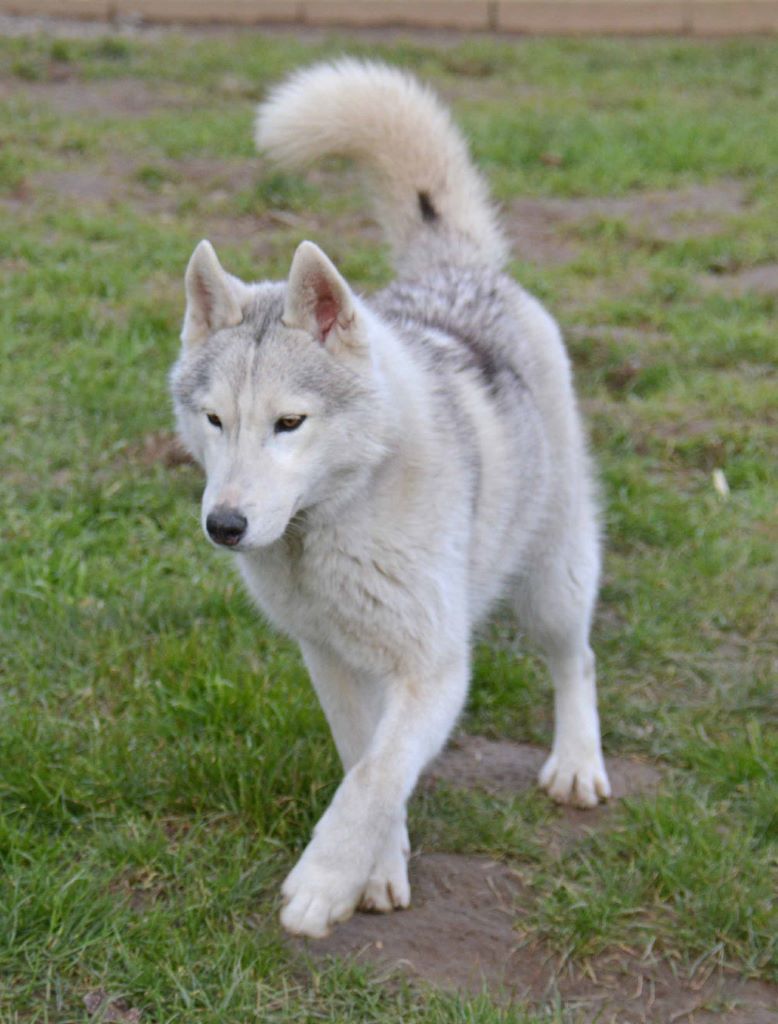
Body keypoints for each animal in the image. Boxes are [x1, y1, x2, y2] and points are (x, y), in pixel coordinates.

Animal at [168, 56, 606, 937]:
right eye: (214, 419)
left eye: (289, 423)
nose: (225, 525)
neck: (327, 526)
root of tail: (455, 271)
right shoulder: (331, 658)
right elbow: (366, 761)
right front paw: (378, 869)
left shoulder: (434, 666)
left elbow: (372, 777)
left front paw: (323, 884)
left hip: (552, 580)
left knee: (576, 659)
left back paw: (577, 763)